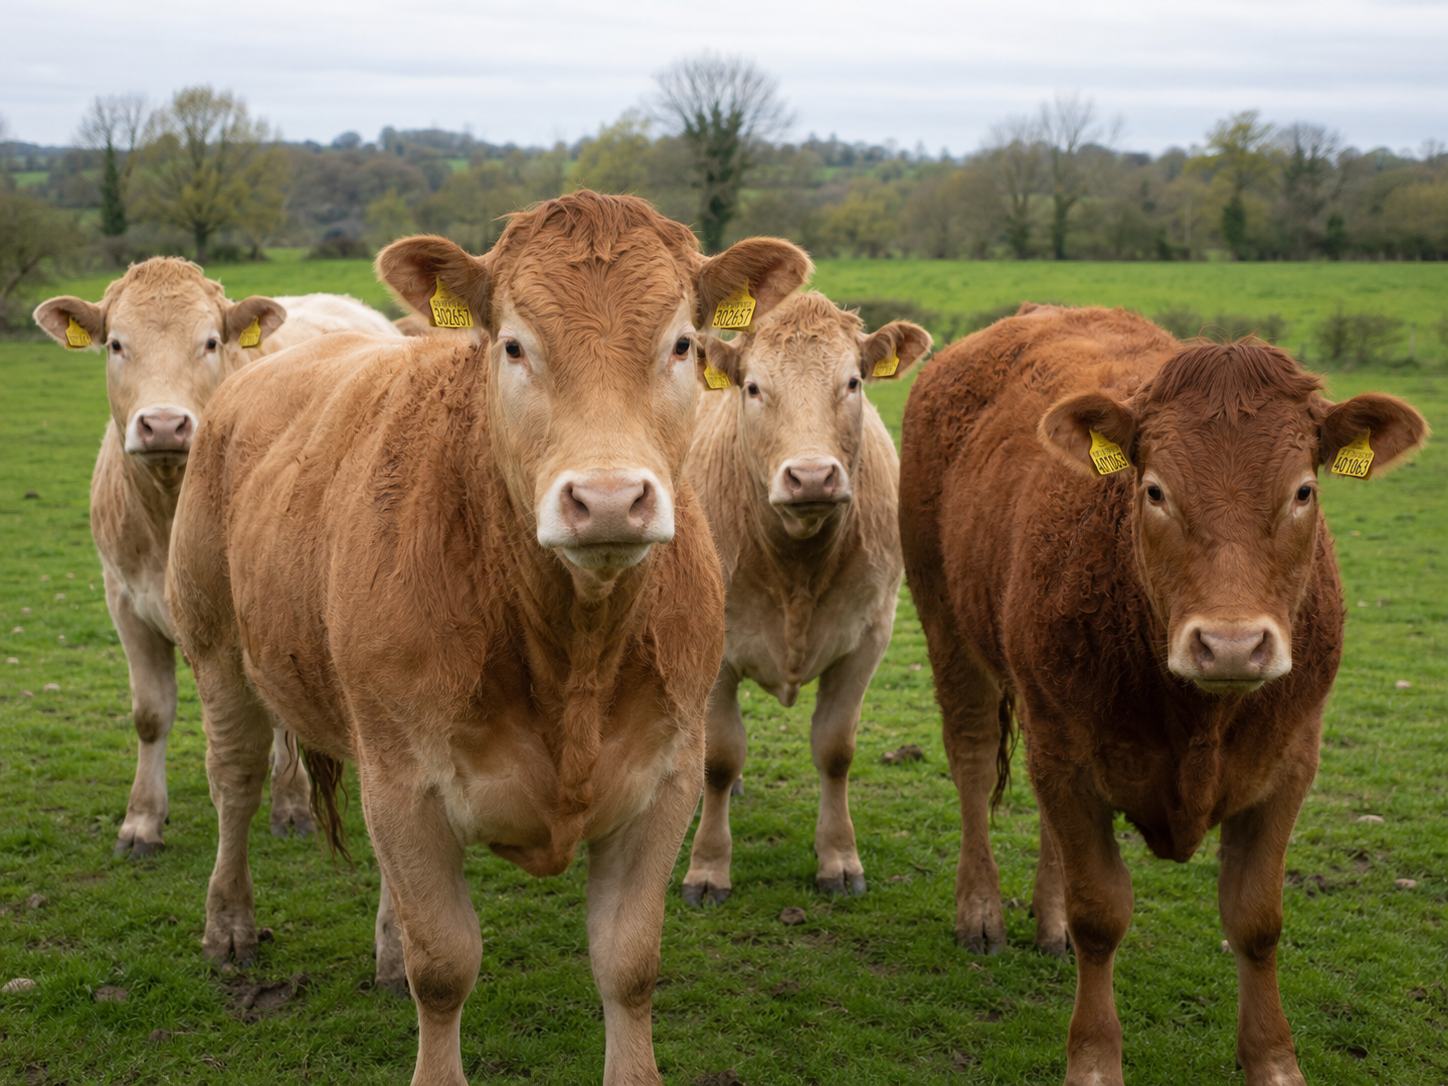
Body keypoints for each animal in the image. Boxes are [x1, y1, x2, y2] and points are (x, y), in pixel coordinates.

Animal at [32, 260, 402, 857]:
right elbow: (150, 713)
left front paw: (292, 806)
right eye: (115, 343)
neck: (167, 511)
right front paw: (142, 821)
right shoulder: (124, 600)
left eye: (209, 341)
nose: (163, 424)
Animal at [164, 192, 811, 1085]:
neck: (574, 650)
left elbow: (629, 965)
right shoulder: (407, 785)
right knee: (234, 782)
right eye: (513, 344)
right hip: (220, 648)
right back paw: (229, 924)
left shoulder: (666, 779)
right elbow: (444, 969)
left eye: (681, 342)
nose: (608, 500)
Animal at [679, 292, 931, 902]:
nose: (812, 476)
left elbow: (835, 751)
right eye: (752, 387)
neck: (795, 566)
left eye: (853, 382)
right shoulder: (717, 649)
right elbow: (720, 757)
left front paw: (838, 859)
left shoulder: (868, 637)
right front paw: (708, 868)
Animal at [898, 304, 1426, 1086]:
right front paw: (1093, 1061)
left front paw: (1275, 1062)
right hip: (947, 621)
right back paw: (981, 911)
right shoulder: (1067, 752)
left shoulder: (1291, 761)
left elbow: (1256, 920)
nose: (1232, 645)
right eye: (1154, 490)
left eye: (1304, 490)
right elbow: (1100, 913)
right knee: (969, 759)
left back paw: (1047, 924)